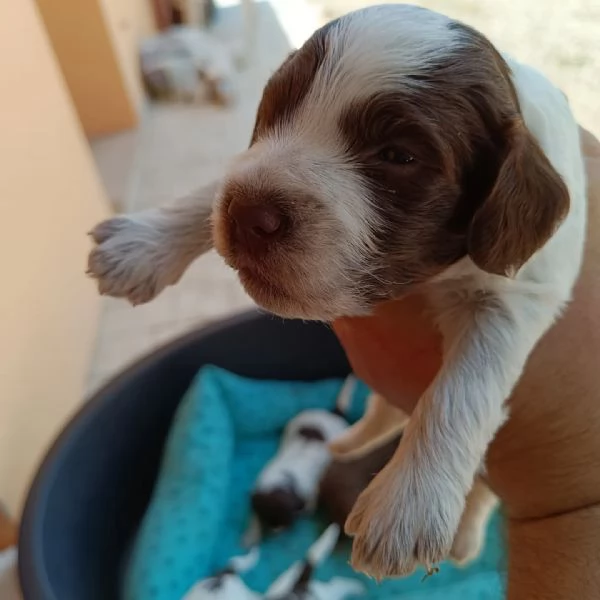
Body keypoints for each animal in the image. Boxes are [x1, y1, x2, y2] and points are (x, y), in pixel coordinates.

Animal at [89, 2, 584, 580]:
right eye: (274, 111)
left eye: (399, 155)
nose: (247, 216)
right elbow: (216, 187)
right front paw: (144, 244)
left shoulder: (517, 295)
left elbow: (462, 388)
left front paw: (410, 503)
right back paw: (345, 444)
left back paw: (460, 533)